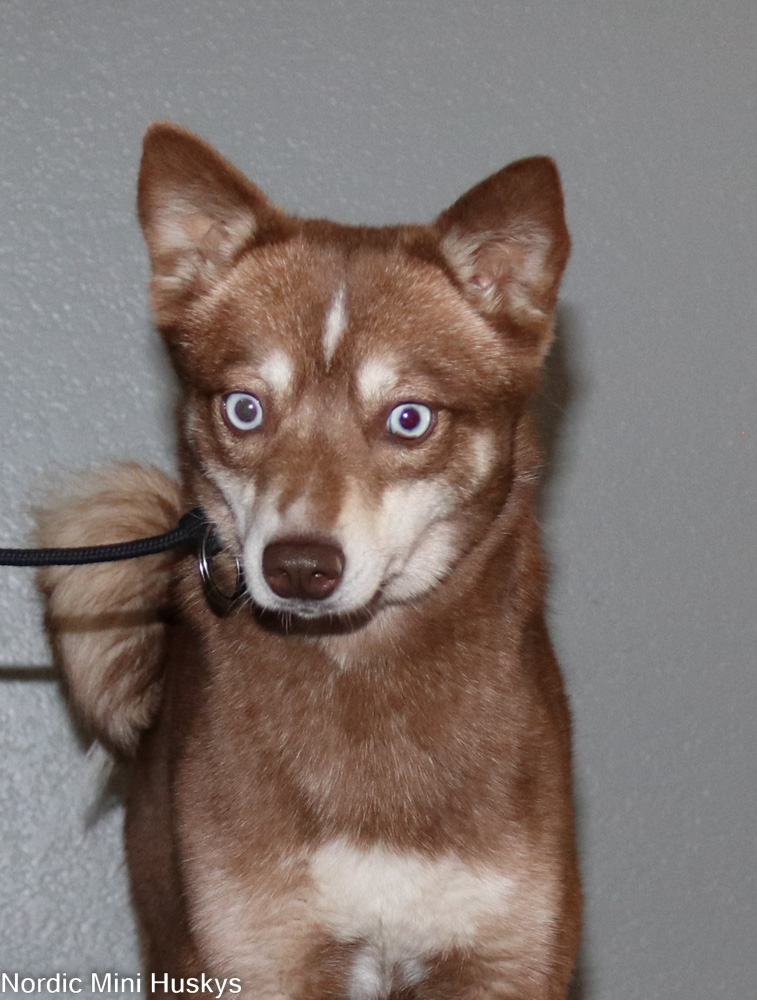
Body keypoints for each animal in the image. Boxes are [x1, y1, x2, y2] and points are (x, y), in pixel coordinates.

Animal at [37, 122, 581, 999]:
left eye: (408, 418)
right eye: (244, 408)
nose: (297, 566)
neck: (361, 673)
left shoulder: (506, 961)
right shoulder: (259, 957)